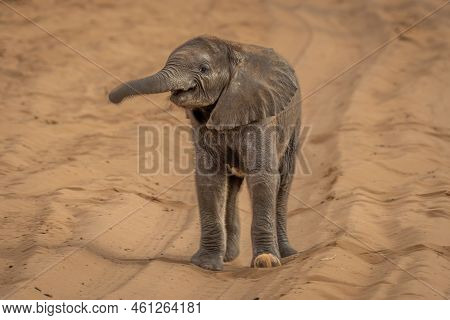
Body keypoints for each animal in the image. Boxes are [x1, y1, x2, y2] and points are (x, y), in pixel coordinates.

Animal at [107, 35, 300, 270]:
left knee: (283, 181)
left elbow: (262, 176)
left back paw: (287, 254)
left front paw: (266, 261)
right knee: (232, 186)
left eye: (204, 69)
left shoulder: (259, 113)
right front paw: (206, 265)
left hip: (295, 126)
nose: (112, 98)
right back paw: (229, 256)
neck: (232, 51)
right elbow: (210, 180)